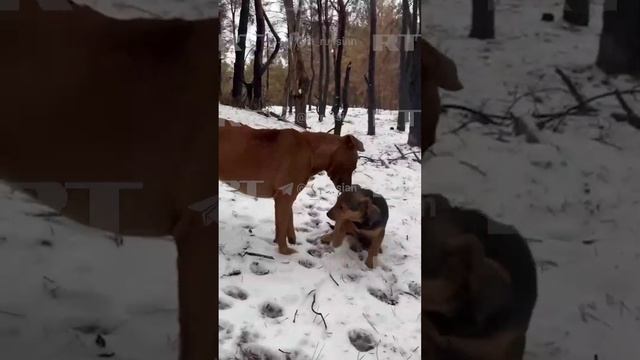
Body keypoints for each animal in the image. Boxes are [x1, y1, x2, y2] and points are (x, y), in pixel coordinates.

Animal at [220, 121, 362, 256]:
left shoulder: (288, 198)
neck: (312, 151)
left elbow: (288, 218)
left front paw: (290, 239)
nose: (348, 187)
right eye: (353, 167)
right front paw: (284, 251)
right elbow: (282, 225)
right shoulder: (284, 197)